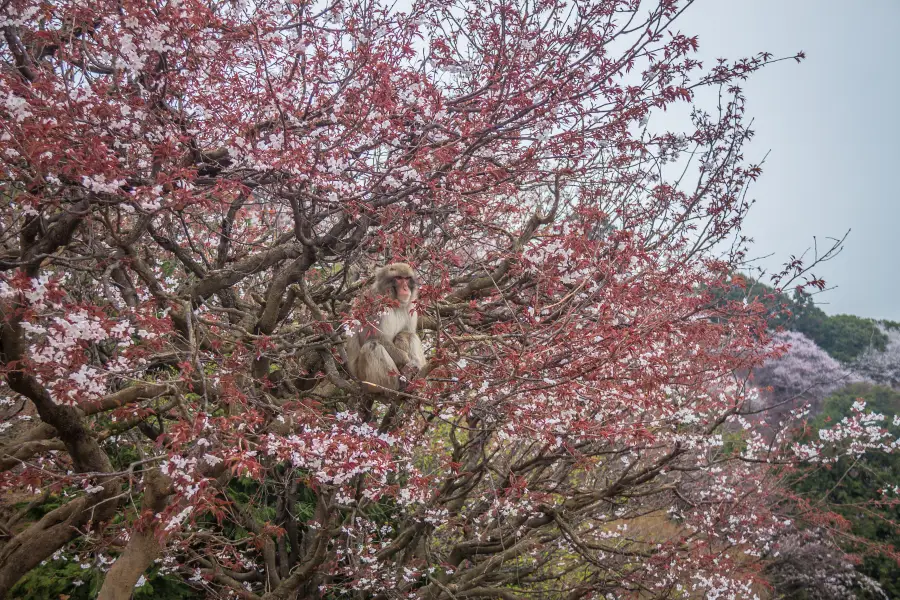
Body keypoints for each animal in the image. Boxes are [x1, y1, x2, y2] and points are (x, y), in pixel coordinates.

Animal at [346, 262, 428, 394]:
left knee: (407, 334)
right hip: (364, 379)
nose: (405, 288)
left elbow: (408, 332)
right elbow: (374, 338)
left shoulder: (411, 306)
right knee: (372, 346)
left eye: (407, 279)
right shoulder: (374, 304)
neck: (393, 302)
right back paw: (394, 386)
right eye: (398, 278)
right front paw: (406, 360)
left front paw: (413, 363)